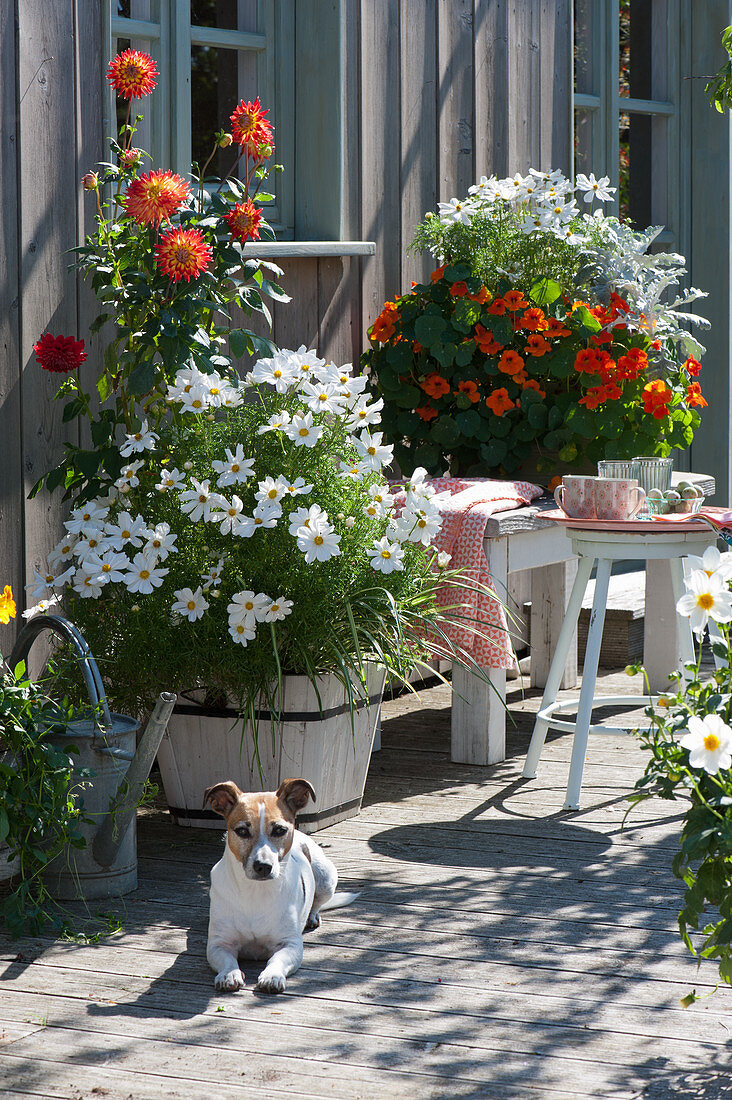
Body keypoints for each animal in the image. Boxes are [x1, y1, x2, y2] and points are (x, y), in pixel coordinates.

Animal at [202, 774, 356, 998]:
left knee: (317, 903)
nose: (263, 866)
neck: (256, 893)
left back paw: (312, 916)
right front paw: (229, 974)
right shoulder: (219, 944)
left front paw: (272, 976)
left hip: (326, 878)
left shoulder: (290, 944)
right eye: (242, 831)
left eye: (279, 830)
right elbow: (228, 960)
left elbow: (277, 959)